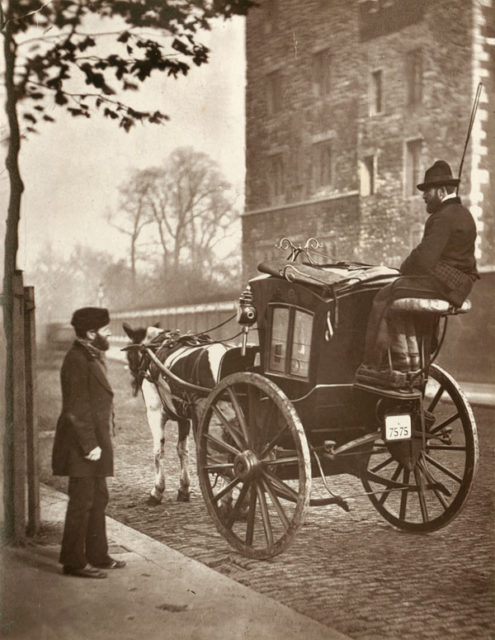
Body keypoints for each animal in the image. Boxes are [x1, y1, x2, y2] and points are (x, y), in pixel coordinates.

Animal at [122, 322, 231, 508]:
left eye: (130, 355)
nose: (134, 383)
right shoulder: (183, 417)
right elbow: (182, 450)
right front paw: (184, 489)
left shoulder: (155, 413)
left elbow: (159, 451)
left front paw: (157, 491)